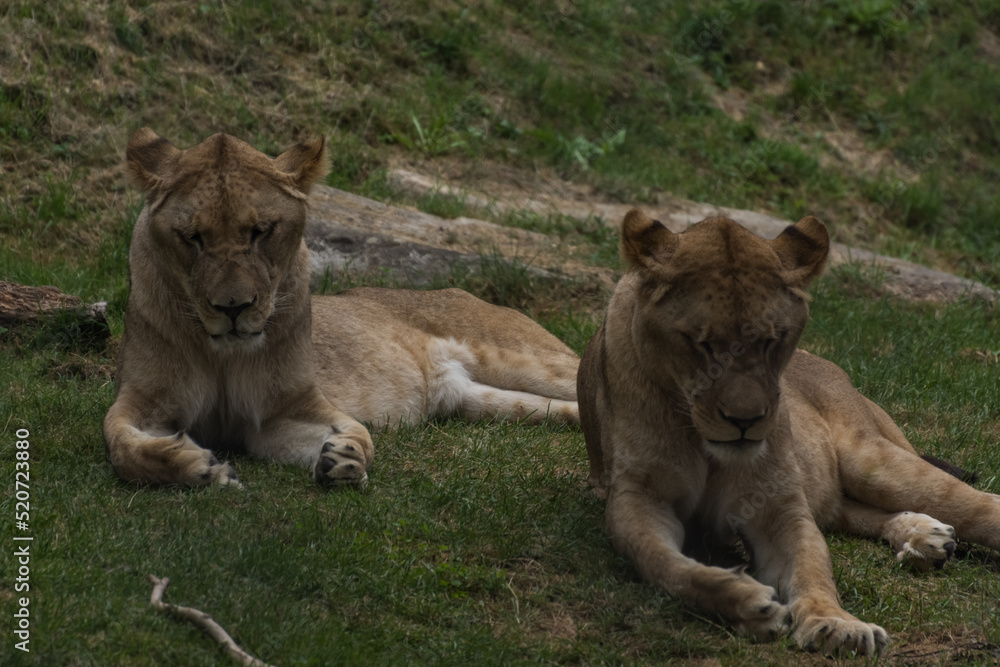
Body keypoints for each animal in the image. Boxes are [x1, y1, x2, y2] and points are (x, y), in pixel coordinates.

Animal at [103, 128, 579, 489]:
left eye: (261, 231)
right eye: (193, 237)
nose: (234, 307)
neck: (222, 356)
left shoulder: (288, 408)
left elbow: (359, 432)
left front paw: (347, 457)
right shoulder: (145, 399)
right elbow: (119, 443)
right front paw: (199, 467)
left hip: (525, 359)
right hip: (481, 400)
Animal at [577, 210, 1000, 655]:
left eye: (770, 341)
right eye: (702, 344)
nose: (745, 420)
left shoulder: (778, 508)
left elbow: (812, 569)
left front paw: (837, 624)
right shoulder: (639, 498)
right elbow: (663, 564)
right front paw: (744, 601)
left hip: (871, 462)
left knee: (979, 503)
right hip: (836, 490)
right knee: (859, 511)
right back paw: (928, 537)